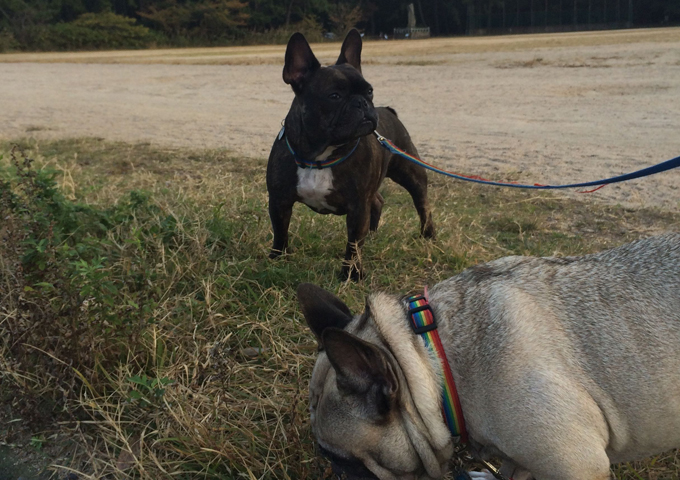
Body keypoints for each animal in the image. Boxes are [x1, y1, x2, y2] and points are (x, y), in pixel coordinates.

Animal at [266, 29, 436, 278]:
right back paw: (374, 234)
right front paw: (276, 259)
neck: (320, 157)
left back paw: (428, 235)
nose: (363, 103)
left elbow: (353, 244)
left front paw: (352, 274)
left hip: (411, 172)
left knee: (422, 203)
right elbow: (280, 231)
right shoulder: (279, 200)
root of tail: (389, 111)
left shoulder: (357, 206)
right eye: (334, 96)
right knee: (378, 200)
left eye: (370, 91)